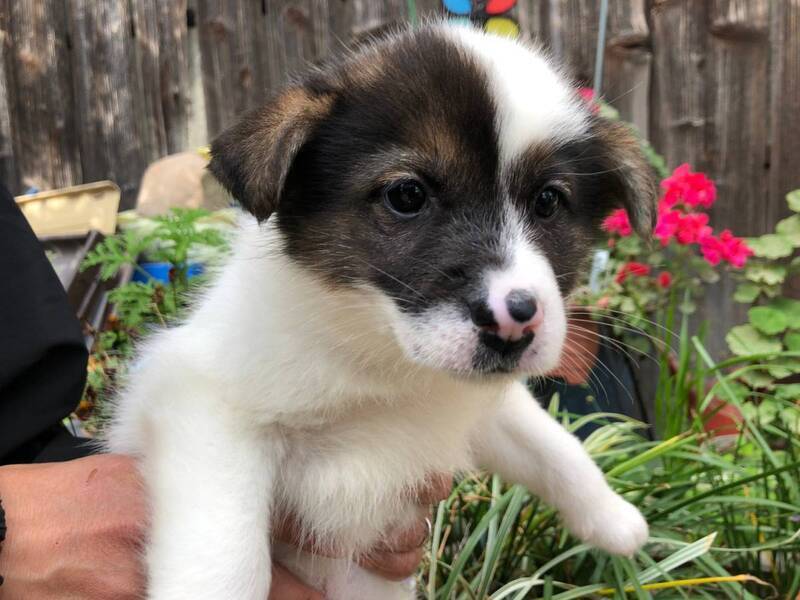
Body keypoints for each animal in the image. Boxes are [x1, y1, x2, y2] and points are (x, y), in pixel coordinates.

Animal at [108, 21, 657, 600]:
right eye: (406, 195)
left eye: (549, 201)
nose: (516, 321)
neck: (383, 359)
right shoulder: (204, 404)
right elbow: (226, 559)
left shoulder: (478, 408)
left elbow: (552, 445)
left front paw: (613, 516)